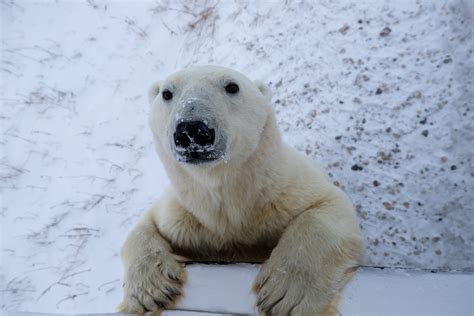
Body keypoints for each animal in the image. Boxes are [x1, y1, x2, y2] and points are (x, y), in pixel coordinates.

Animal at [118, 65, 362, 314]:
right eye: (167, 93)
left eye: (232, 86)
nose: (192, 130)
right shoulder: (186, 218)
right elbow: (142, 228)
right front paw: (151, 291)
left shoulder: (286, 191)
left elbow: (328, 207)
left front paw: (285, 294)